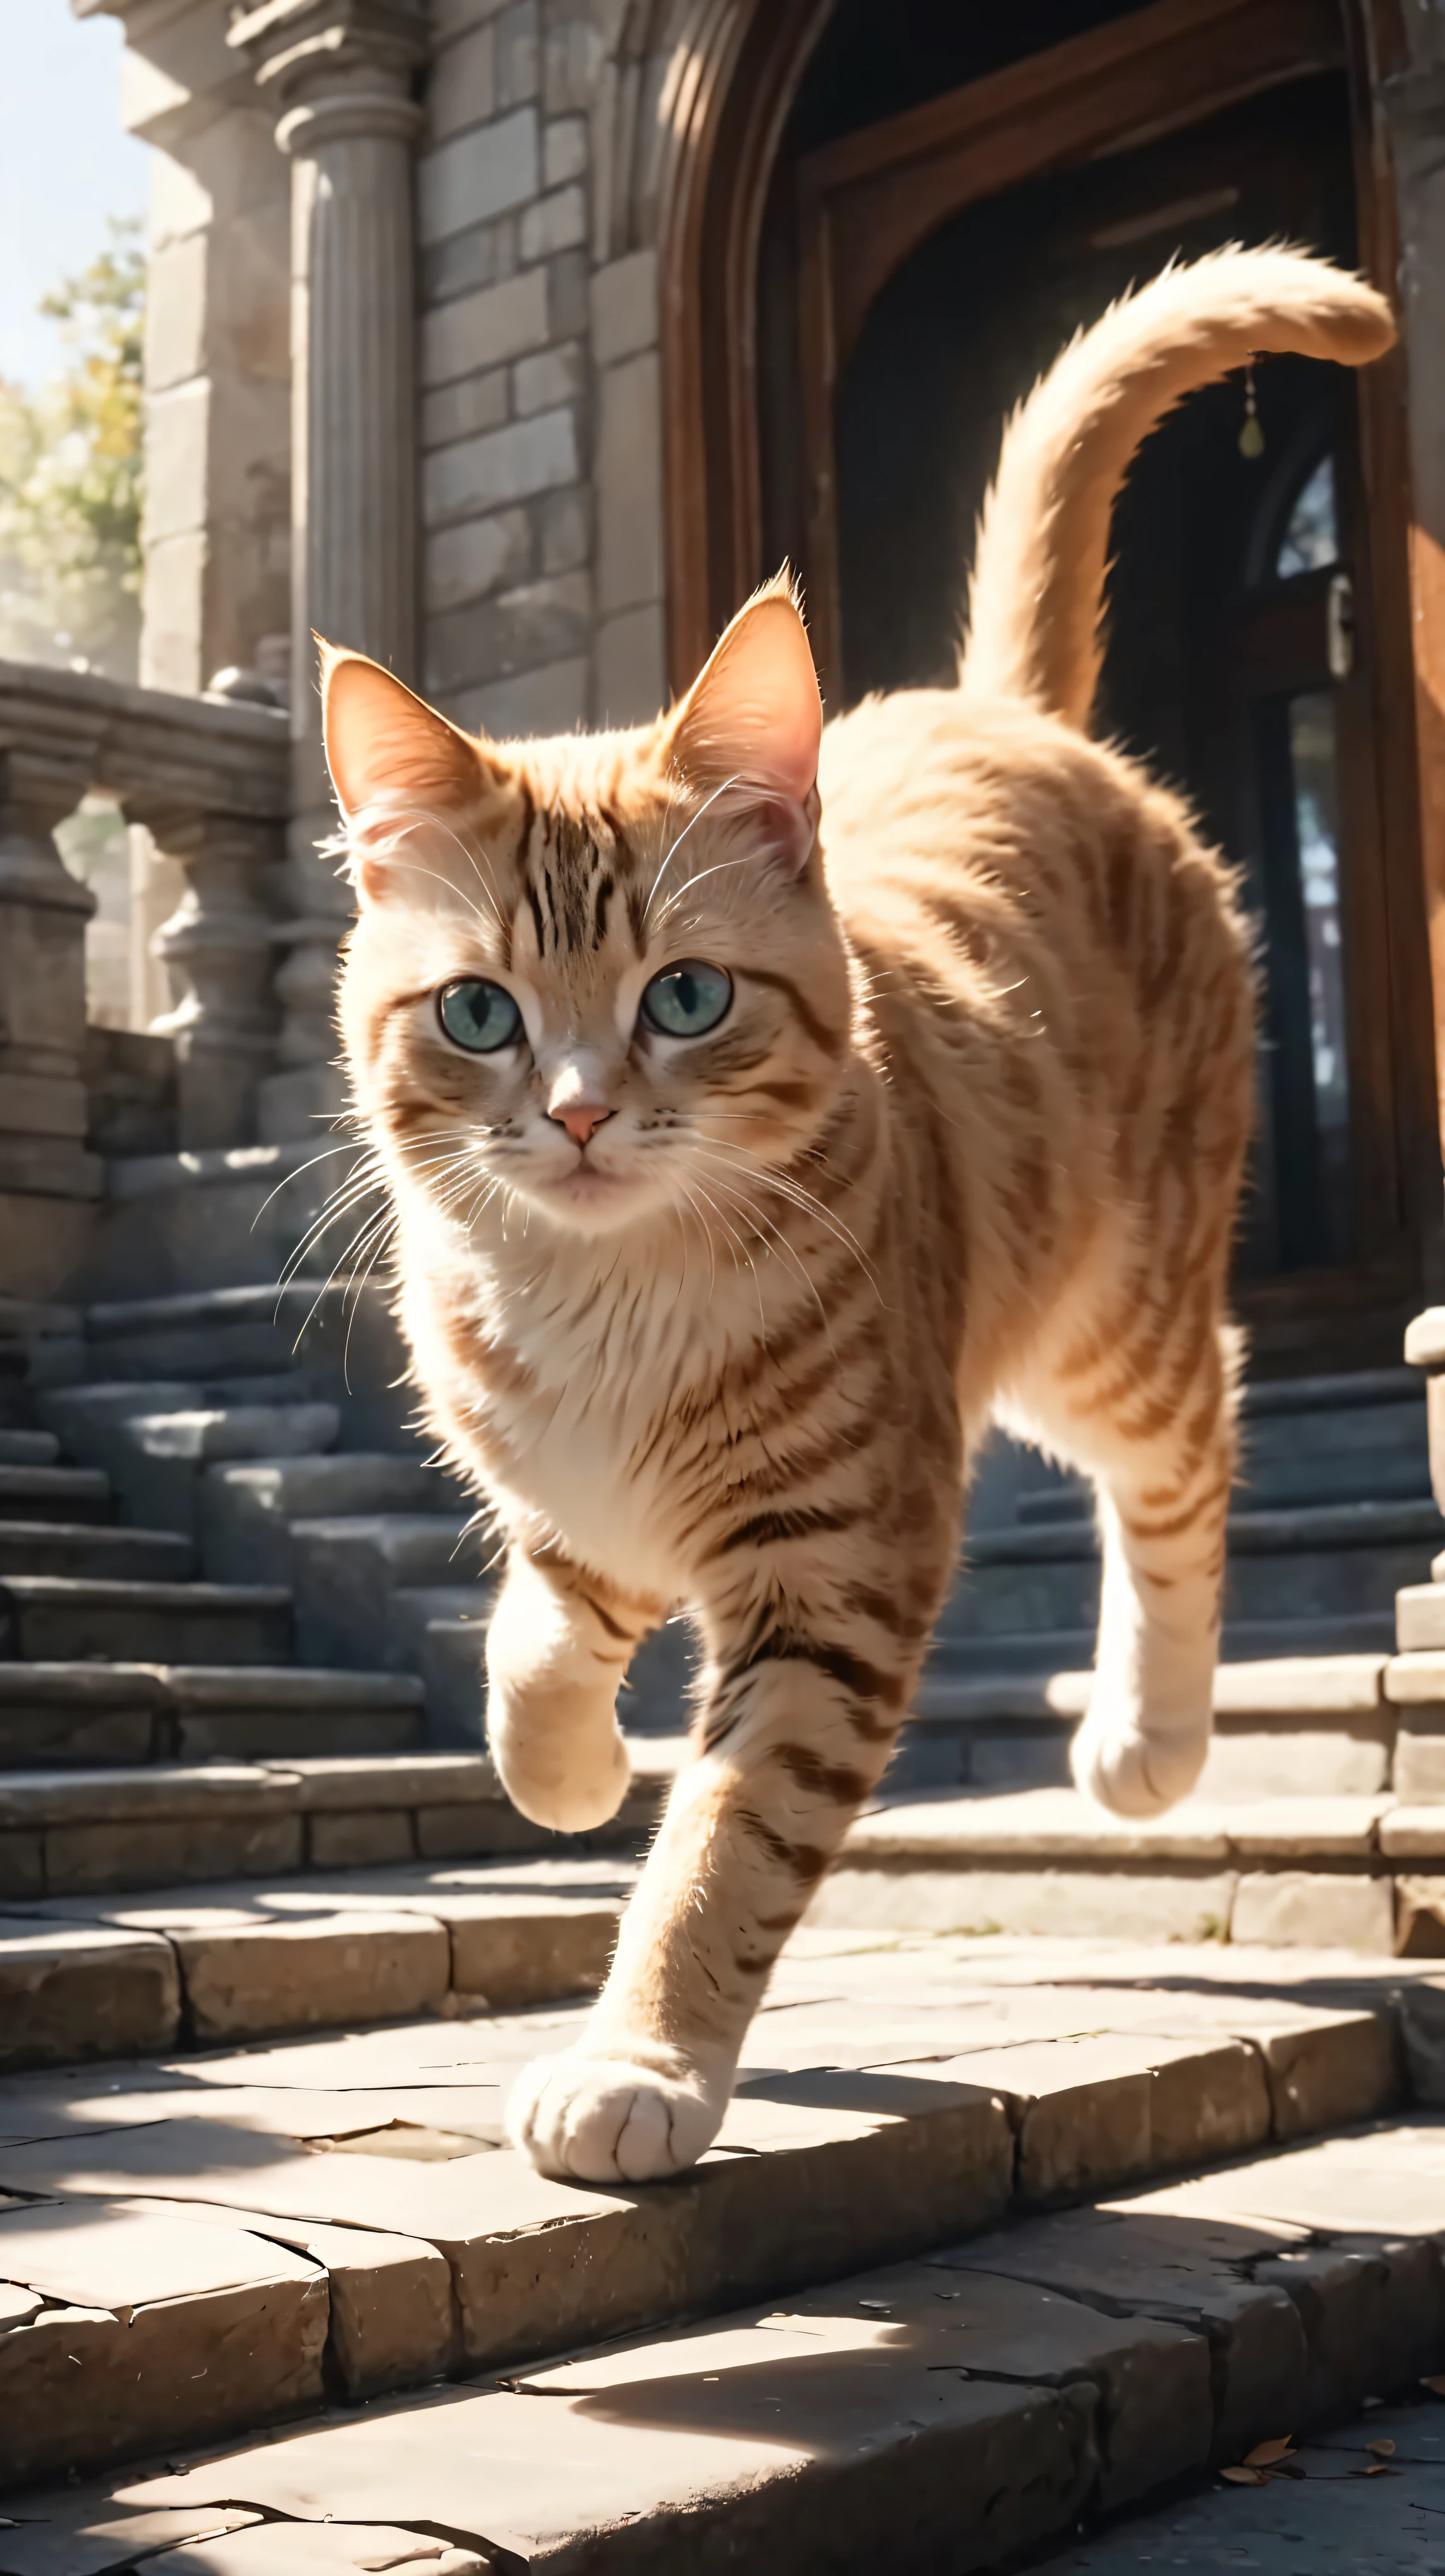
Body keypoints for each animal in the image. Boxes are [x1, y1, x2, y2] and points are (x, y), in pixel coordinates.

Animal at [324, 251, 1391, 2174]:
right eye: (478, 1014)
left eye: (684, 998)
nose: (577, 1114)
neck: (606, 1299)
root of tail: (1005, 711)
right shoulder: (577, 1499)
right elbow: (534, 1645)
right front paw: (568, 1765)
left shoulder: (834, 1570)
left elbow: (722, 1851)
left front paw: (640, 2063)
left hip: (1099, 1319)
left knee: (1193, 1439)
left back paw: (1146, 1733)